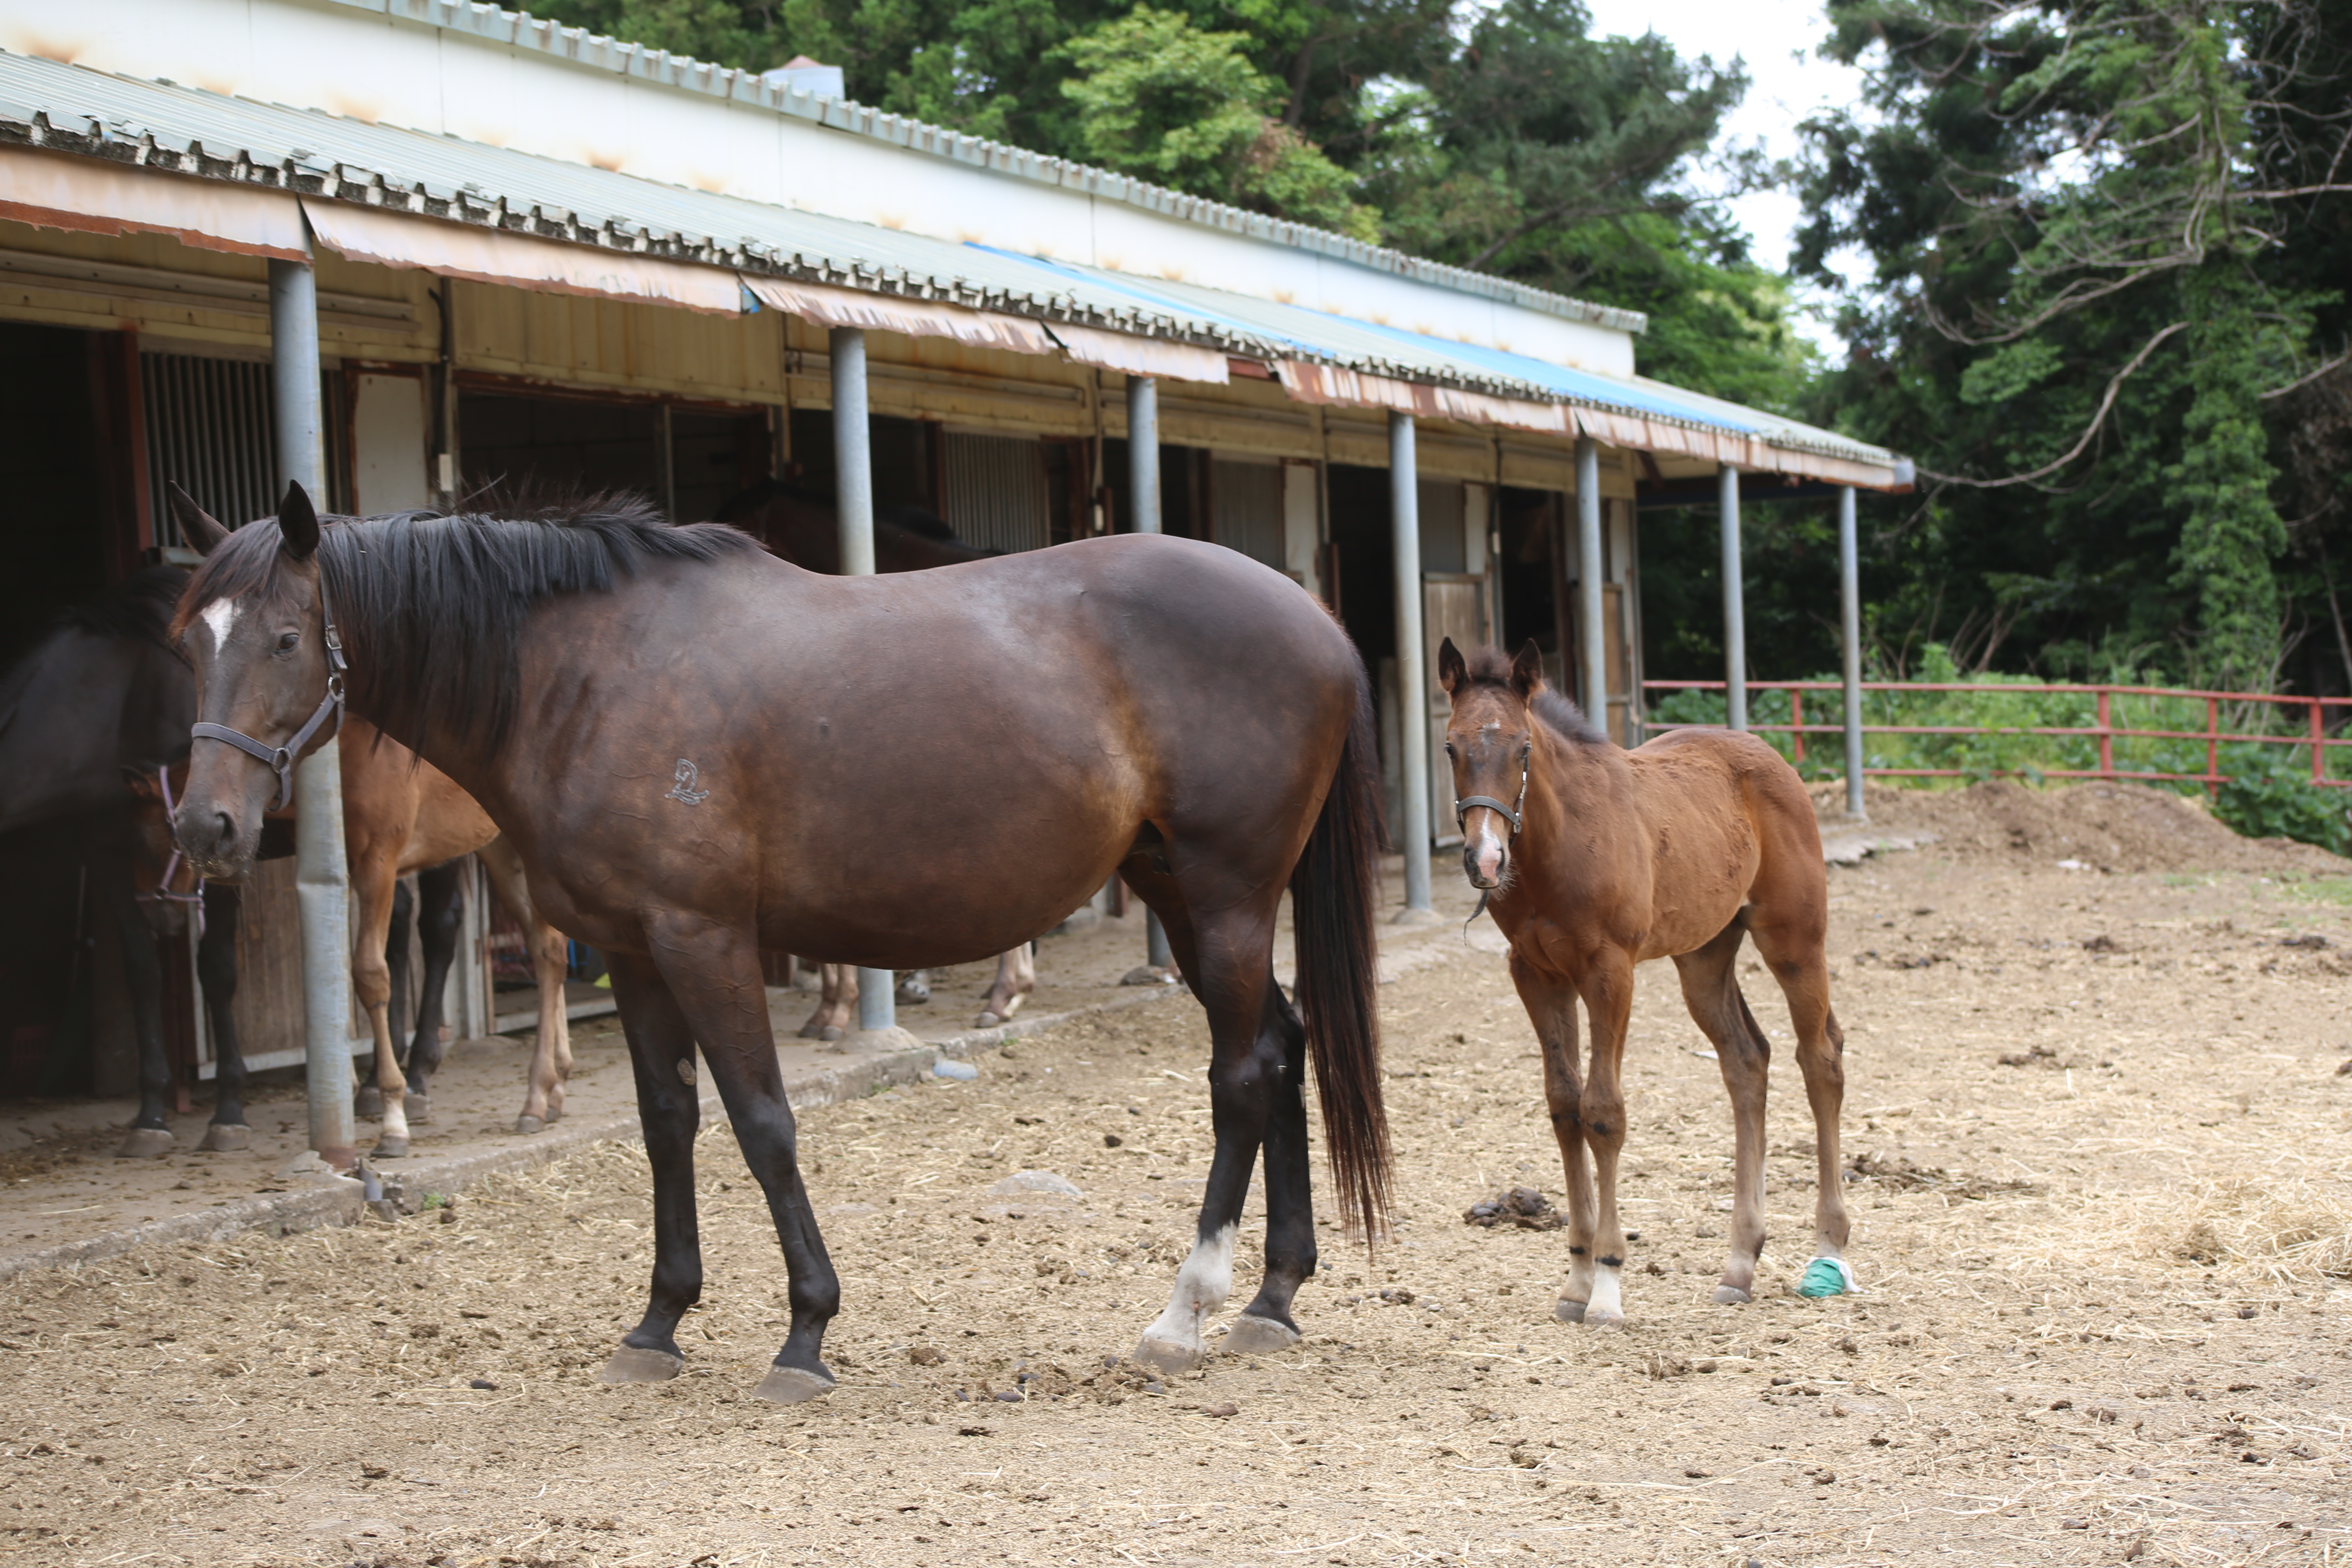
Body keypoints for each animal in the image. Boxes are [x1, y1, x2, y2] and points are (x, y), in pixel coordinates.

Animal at [0, 571, 255, 1161]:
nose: (166, 915)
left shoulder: (224, 847)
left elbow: (217, 971)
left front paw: (229, 1111)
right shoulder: (105, 849)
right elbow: (142, 970)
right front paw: (151, 1115)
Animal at [174, 486, 1383, 1401]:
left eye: (285, 638)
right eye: (190, 638)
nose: (205, 827)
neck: (591, 671)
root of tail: (1317, 620)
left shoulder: (703, 938)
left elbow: (761, 1123)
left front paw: (805, 1333)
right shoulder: (635, 950)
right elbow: (667, 1125)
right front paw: (658, 1322)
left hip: (1225, 897)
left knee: (1242, 1072)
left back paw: (1187, 1308)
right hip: (1181, 892)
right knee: (1281, 1045)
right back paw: (1273, 1295)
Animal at [1439, 644, 1844, 1335]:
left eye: (1523, 747)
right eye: (1450, 747)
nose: (1485, 860)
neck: (1560, 844)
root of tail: (1774, 760)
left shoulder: (1610, 970)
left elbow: (1603, 1112)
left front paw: (1606, 1286)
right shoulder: (1536, 975)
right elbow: (1564, 1107)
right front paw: (1575, 1280)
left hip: (1794, 941)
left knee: (1820, 1059)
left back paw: (1829, 1251)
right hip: (1704, 957)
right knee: (1748, 1061)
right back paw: (1740, 1265)